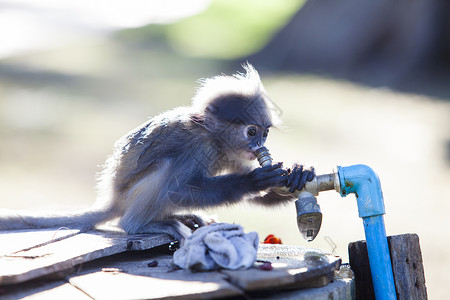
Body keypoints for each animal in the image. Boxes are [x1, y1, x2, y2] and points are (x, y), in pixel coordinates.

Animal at [0, 63, 314, 241]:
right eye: (251, 132)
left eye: (265, 133)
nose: (260, 146)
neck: (212, 137)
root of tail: (115, 200)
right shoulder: (196, 148)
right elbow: (177, 190)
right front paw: (249, 182)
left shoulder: (231, 152)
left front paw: (297, 176)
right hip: (133, 197)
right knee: (163, 174)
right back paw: (140, 225)